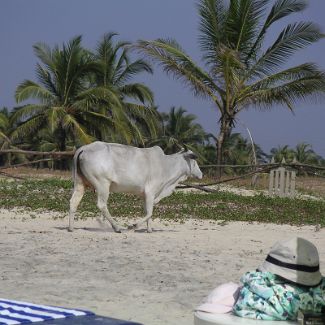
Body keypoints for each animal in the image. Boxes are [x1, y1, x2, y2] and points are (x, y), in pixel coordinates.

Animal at [68, 140, 201, 232]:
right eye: (194, 161)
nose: (201, 174)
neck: (166, 165)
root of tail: (84, 148)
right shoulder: (150, 192)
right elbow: (149, 213)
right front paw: (134, 225)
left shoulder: (145, 195)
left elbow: (148, 212)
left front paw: (149, 230)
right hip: (103, 185)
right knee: (102, 205)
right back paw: (116, 227)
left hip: (80, 184)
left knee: (73, 202)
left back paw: (71, 228)